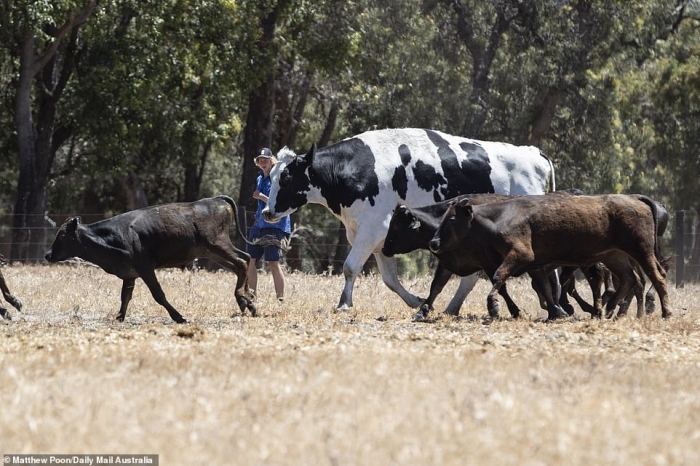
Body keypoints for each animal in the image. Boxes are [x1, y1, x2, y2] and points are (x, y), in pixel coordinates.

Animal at [45, 195, 262, 322]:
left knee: (242, 262)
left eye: (62, 236)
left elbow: (158, 295)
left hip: (216, 244)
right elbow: (125, 296)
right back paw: (248, 301)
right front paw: (120, 317)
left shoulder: (146, 268)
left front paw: (179, 317)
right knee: (243, 260)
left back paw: (243, 299)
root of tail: (214, 200)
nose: (47, 255)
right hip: (212, 251)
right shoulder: (129, 274)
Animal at [262, 126, 552, 314]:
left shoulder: (372, 230)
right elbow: (390, 280)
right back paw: (452, 308)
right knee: (471, 277)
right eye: (271, 176)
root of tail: (533, 153)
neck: (355, 168)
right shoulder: (378, 239)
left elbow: (350, 267)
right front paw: (417, 301)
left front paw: (344, 303)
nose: (266, 212)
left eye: (286, 177)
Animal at [426, 193, 672, 320]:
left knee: (657, 276)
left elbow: (499, 277)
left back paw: (665, 312)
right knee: (630, 278)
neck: (498, 218)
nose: (433, 242)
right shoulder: (533, 264)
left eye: (451, 219)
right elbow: (542, 287)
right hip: (614, 255)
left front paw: (493, 306)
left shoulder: (520, 255)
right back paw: (609, 309)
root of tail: (637, 199)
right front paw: (554, 311)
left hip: (641, 251)